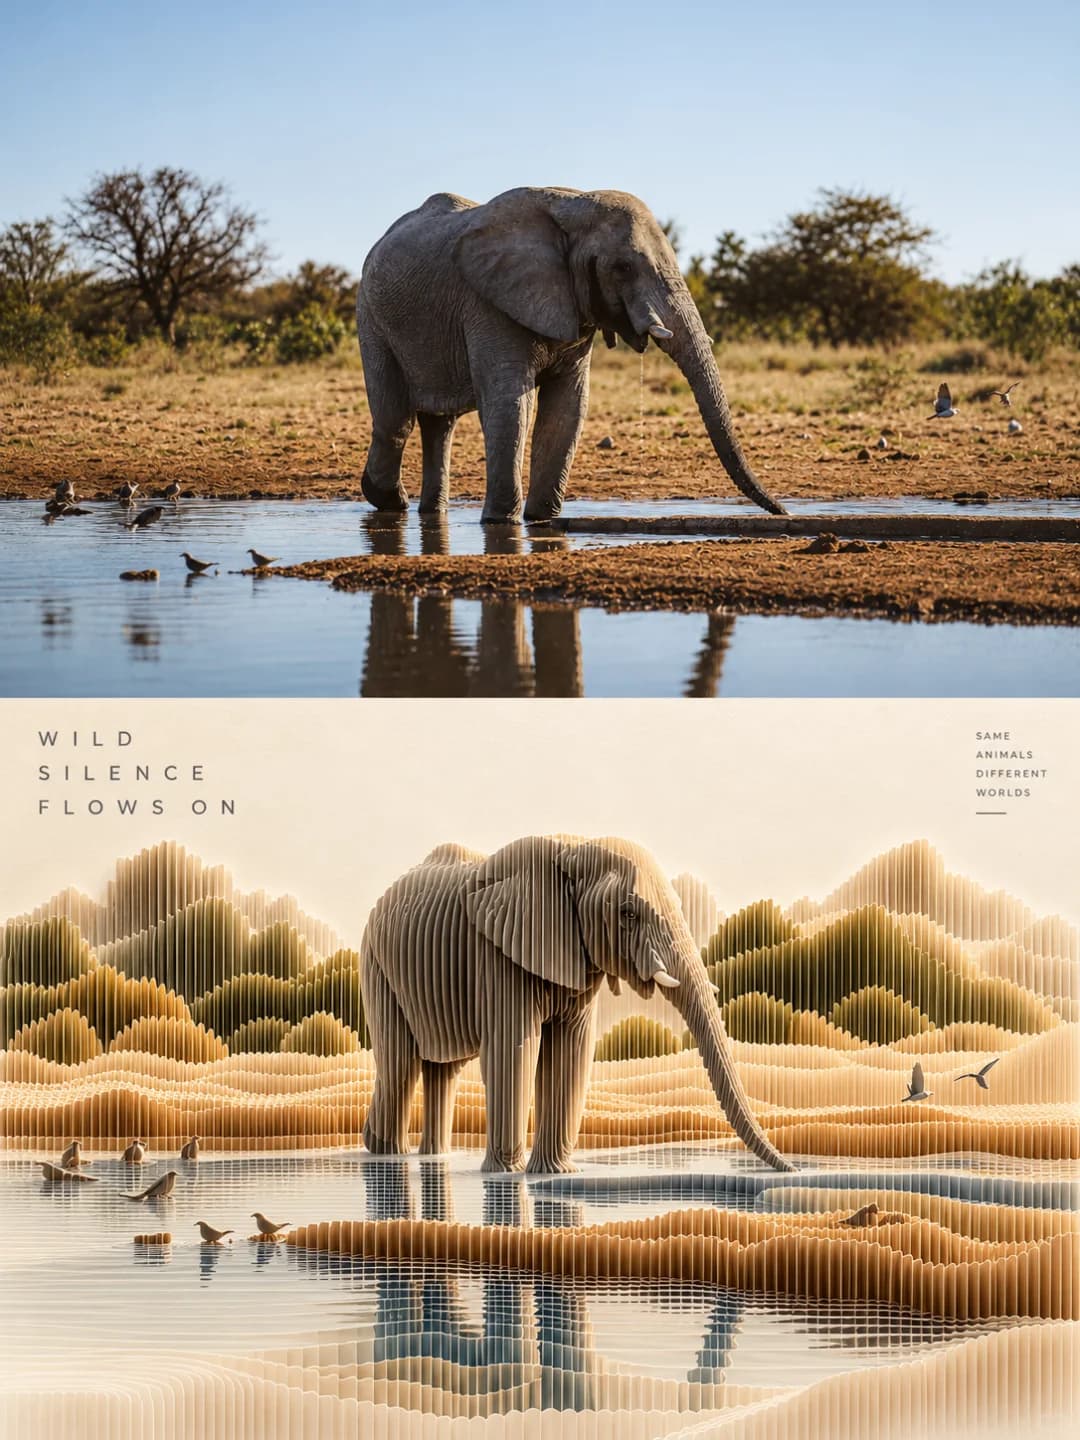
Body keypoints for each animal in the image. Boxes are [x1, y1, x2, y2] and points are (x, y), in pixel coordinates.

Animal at [356, 187, 787, 523]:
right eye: (623, 267)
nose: (784, 510)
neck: (574, 204)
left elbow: (568, 407)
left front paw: (540, 520)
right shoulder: (488, 302)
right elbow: (511, 403)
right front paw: (500, 522)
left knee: (438, 425)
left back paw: (430, 511)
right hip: (371, 317)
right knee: (396, 418)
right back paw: (389, 501)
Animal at [360, 834, 793, 1174]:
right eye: (627, 913)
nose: (792, 1168)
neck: (573, 847)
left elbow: (571, 1051)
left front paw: (553, 1174)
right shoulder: (499, 957)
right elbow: (516, 1048)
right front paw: (507, 1175)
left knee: (441, 1069)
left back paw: (431, 1157)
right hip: (377, 964)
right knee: (400, 1064)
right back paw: (385, 1154)